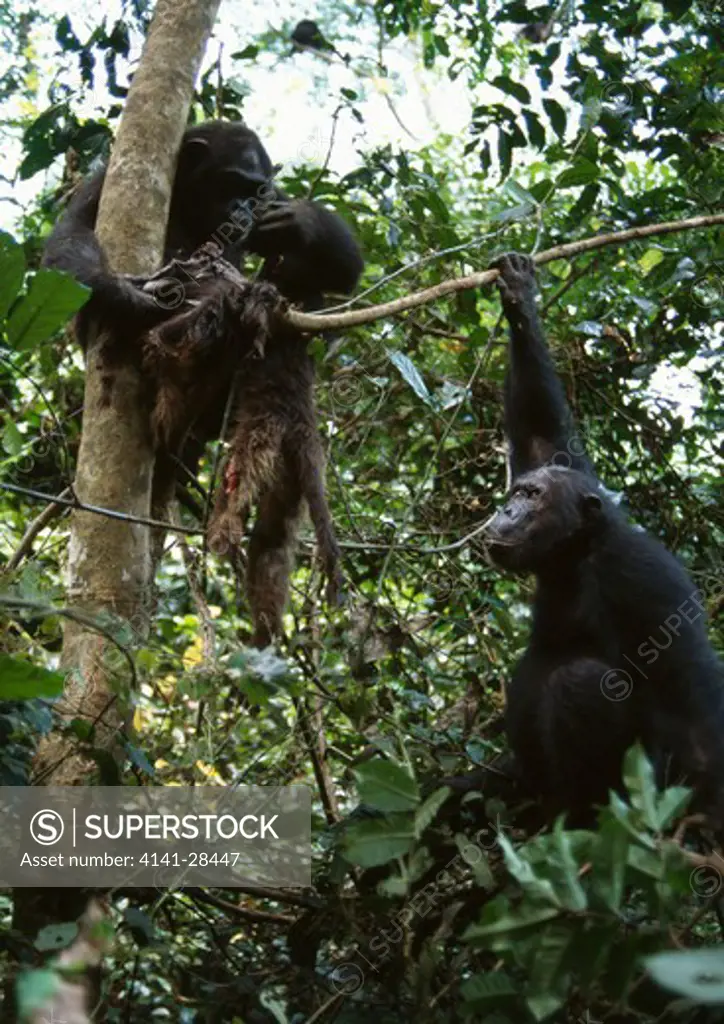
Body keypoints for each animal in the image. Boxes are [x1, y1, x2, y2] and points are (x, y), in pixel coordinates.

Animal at [481, 253, 724, 823]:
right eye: (519, 490)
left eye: (532, 497)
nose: (506, 509)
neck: (577, 554)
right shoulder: (559, 461)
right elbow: (541, 432)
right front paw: (519, 294)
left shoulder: (647, 580)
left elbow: (690, 690)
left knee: (576, 683)